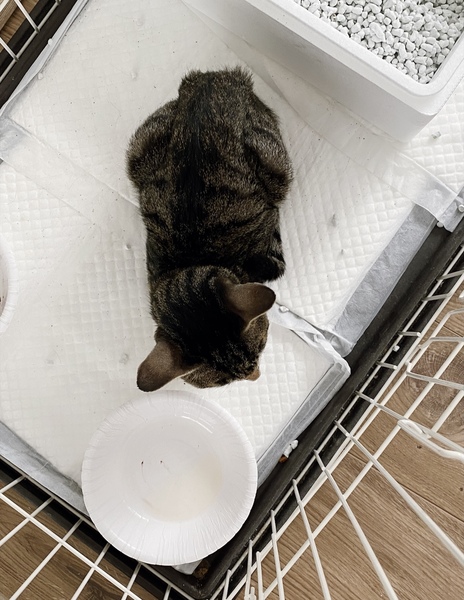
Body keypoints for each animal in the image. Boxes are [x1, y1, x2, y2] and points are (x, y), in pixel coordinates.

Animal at [127, 67, 292, 391]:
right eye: (224, 383)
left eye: (262, 346)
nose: (256, 376)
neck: (193, 261)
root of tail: (214, 79)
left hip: (278, 166)